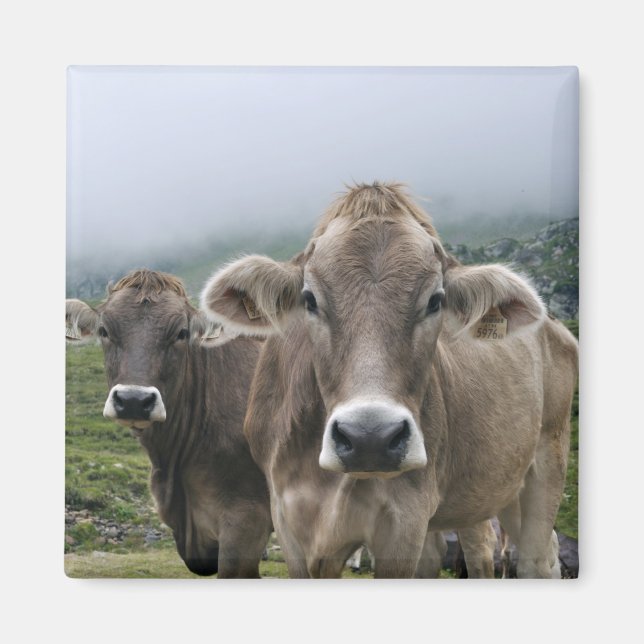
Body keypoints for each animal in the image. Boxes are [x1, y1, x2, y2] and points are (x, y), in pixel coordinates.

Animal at [200, 182, 578, 579]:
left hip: (546, 460)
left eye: (436, 300)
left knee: (527, 556)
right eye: (309, 299)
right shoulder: (288, 520)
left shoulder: (406, 519)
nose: (371, 438)